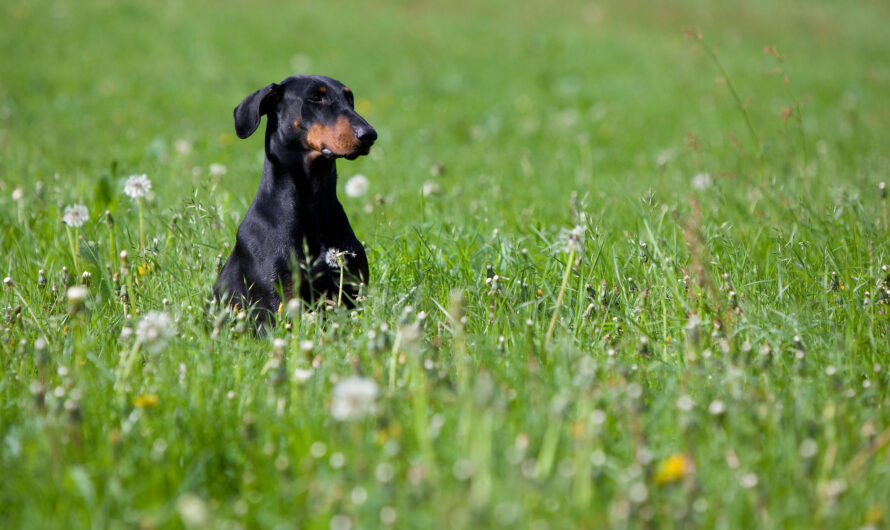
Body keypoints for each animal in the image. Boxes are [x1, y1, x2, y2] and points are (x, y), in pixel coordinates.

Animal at [214, 75, 374, 322]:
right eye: (316, 97)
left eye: (350, 98)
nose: (369, 135)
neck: (314, 204)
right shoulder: (277, 300)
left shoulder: (349, 292)